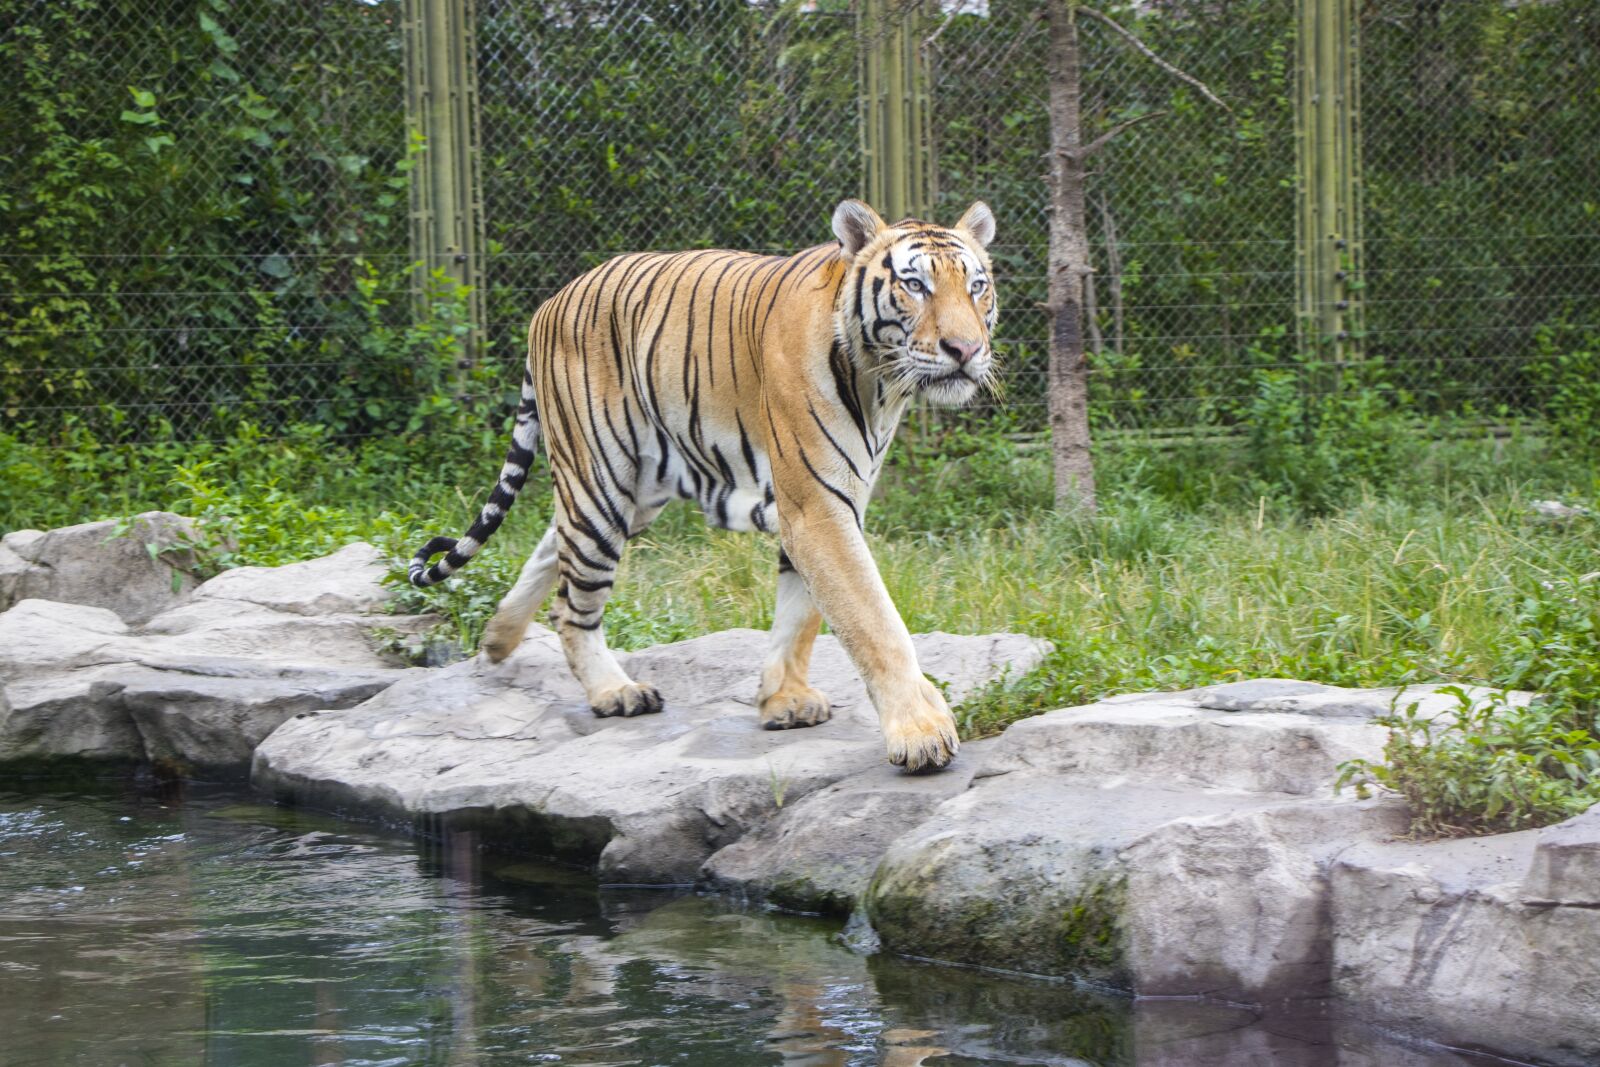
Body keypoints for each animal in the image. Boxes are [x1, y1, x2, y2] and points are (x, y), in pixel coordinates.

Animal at [409, 198, 998, 772]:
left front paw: (784, 699)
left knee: (554, 546)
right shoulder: (816, 506)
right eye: (915, 285)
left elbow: (801, 614)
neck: (880, 385)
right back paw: (614, 692)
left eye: (976, 286)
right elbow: (873, 620)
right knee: (573, 605)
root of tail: (549, 303)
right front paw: (922, 734)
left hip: (630, 491)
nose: (965, 350)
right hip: (600, 479)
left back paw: (498, 638)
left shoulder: (827, 503)